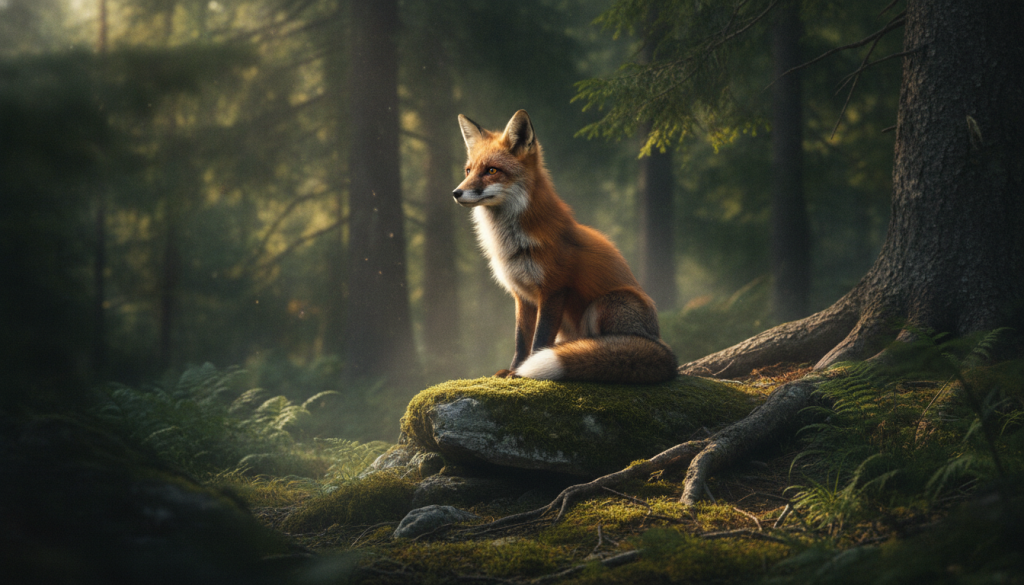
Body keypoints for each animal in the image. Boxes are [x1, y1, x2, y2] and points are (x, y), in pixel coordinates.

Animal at [452, 109, 678, 384]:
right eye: (468, 170)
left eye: (492, 170)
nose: (456, 192)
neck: (513, 244)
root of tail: (662, 346)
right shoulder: (522, 296)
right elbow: (521, 340)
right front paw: (513, 370)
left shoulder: (554, 289)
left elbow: (539, 340)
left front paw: (524, 372)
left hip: (604, 304)